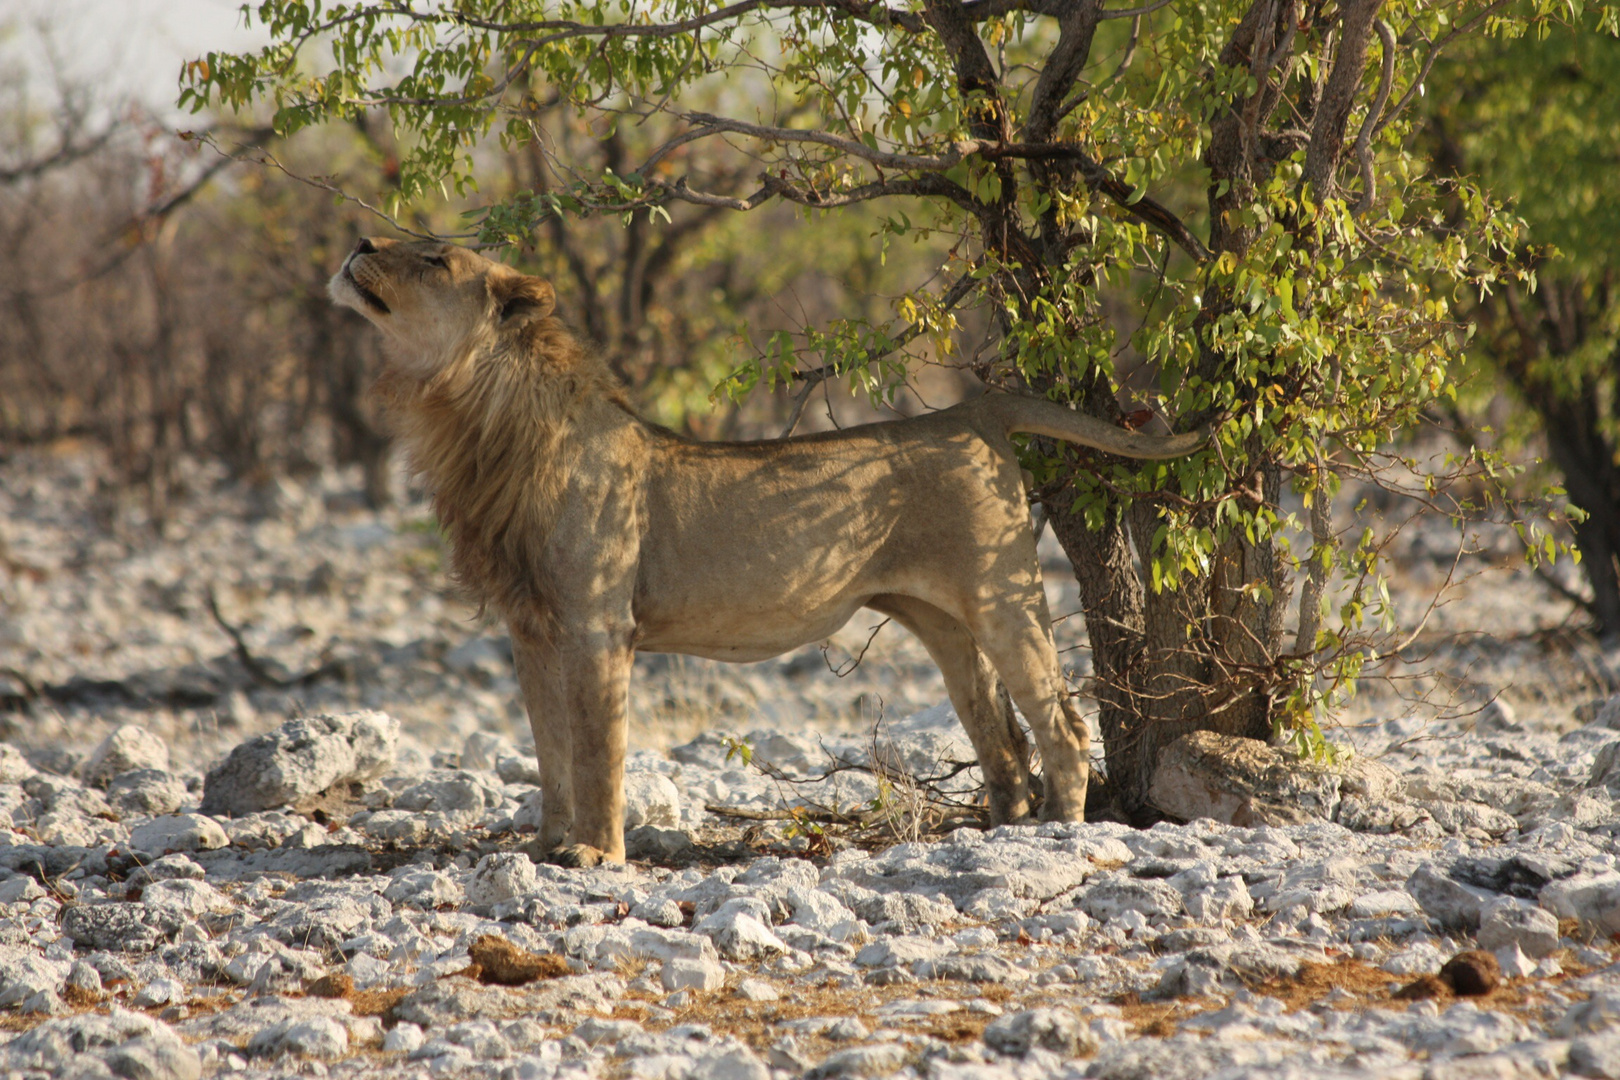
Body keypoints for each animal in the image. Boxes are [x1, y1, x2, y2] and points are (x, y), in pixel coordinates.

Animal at [328, 238, 1205, 867]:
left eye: (435, 259)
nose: (359, 241)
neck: (473, 418)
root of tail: (974, 412)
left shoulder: (596, 626)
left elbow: (597, 749)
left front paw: (597, 856)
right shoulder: (531, 629)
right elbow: (548, 751)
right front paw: (546, 846)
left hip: (1001, 596)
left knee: (1063, 726)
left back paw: (1055, 834)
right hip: (940, 622)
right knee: (1002, 736)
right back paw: (999, 834)